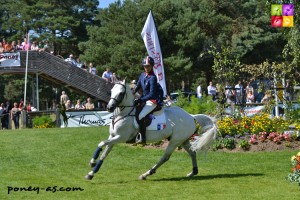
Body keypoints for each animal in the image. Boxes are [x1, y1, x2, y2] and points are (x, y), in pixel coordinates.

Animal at [85, 80, 217, 181]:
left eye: (121, 93)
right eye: (111, 91)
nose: (109, 107)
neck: (123, 115)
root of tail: (190, 115)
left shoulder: (120, 138)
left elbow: (101, 143)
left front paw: (92, 163)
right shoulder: (112, 138)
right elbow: (104, 153)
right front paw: (91, 173)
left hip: (175, 141)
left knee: (165, 157)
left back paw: (146, 174)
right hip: (183, 140)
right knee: (192, 153)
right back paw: (193, 172)